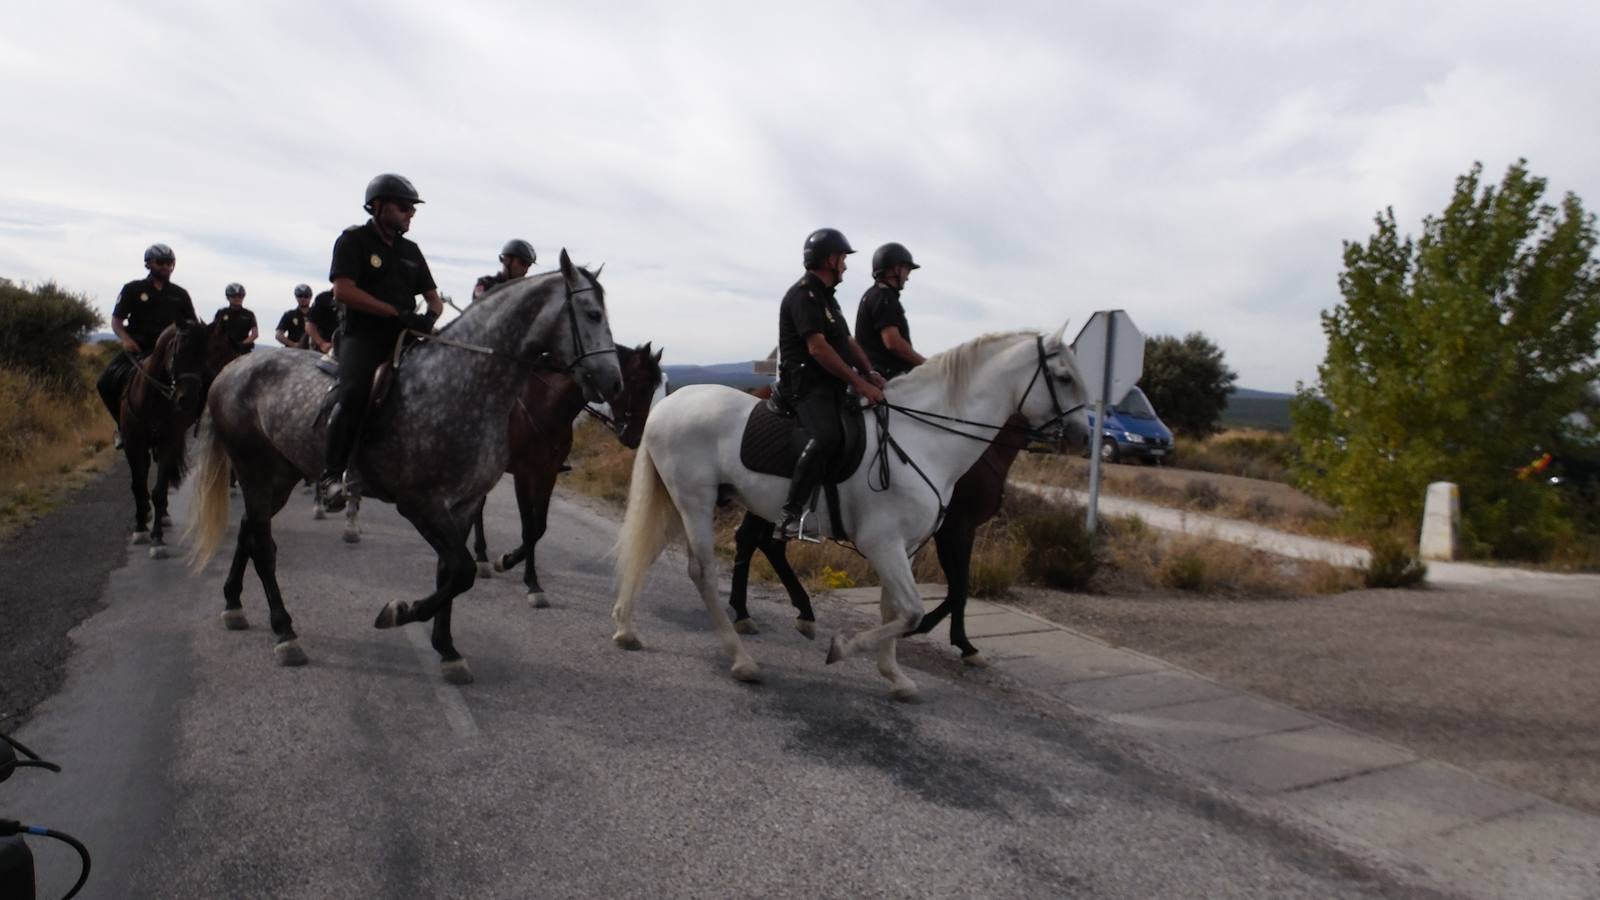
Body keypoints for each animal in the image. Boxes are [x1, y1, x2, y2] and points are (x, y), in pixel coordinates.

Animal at [480, 339, 668, 605]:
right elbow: (528, 529)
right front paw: (531, 583)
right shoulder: (523, 475)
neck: (546, 405)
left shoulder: (547, 474)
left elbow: (538, 528)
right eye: (641, 388)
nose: (634, 438)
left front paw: (509, 562)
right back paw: (480, 557)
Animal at [729, 409, 1030, 662]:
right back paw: (752, 613)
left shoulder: (952, 531)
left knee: (759, 541)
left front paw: (953, 639)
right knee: (758, 540)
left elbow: (958, 588)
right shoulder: (956, 529)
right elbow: (959, 590)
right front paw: (952, 639)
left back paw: (773, 611)